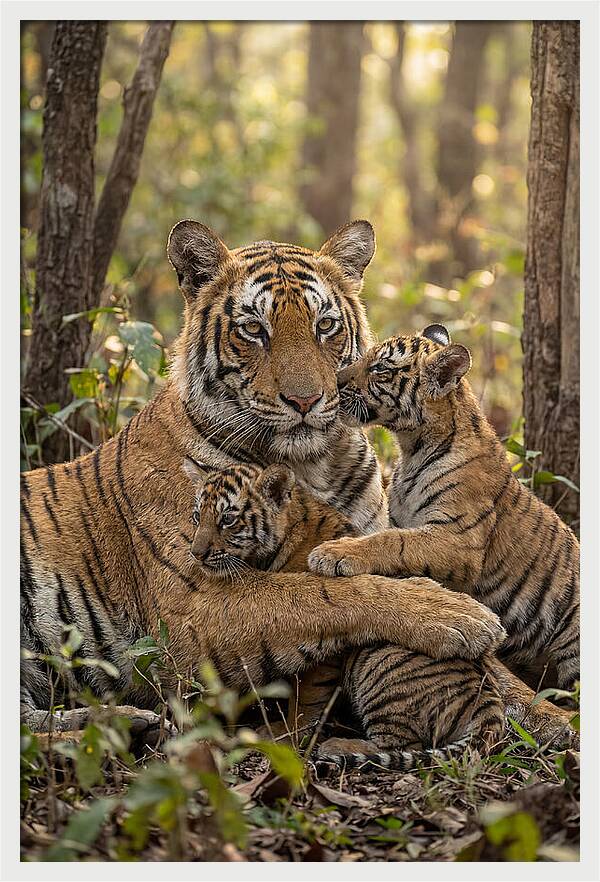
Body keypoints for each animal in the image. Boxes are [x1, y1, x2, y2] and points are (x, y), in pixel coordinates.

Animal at [21, 222, 506, 733]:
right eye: (254, 329)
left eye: (325, 325)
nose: (306, 400)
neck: (312, 465)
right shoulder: (194, 605)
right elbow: (321, 592)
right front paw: (458, 614)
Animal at [184, 456, 506, 769]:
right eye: (197, 516)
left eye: (228, 519)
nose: (196, 554)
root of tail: (489, 701)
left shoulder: (325, 645)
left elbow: (307, 698)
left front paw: (287, 733)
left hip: (378, 663)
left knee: (402, 745)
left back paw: (339, 746)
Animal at [308, 324, 580, 693]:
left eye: (380, 369)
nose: (334, 382)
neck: (412, 448)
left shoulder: (459, 538)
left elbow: (394, 542)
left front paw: (334, 553)